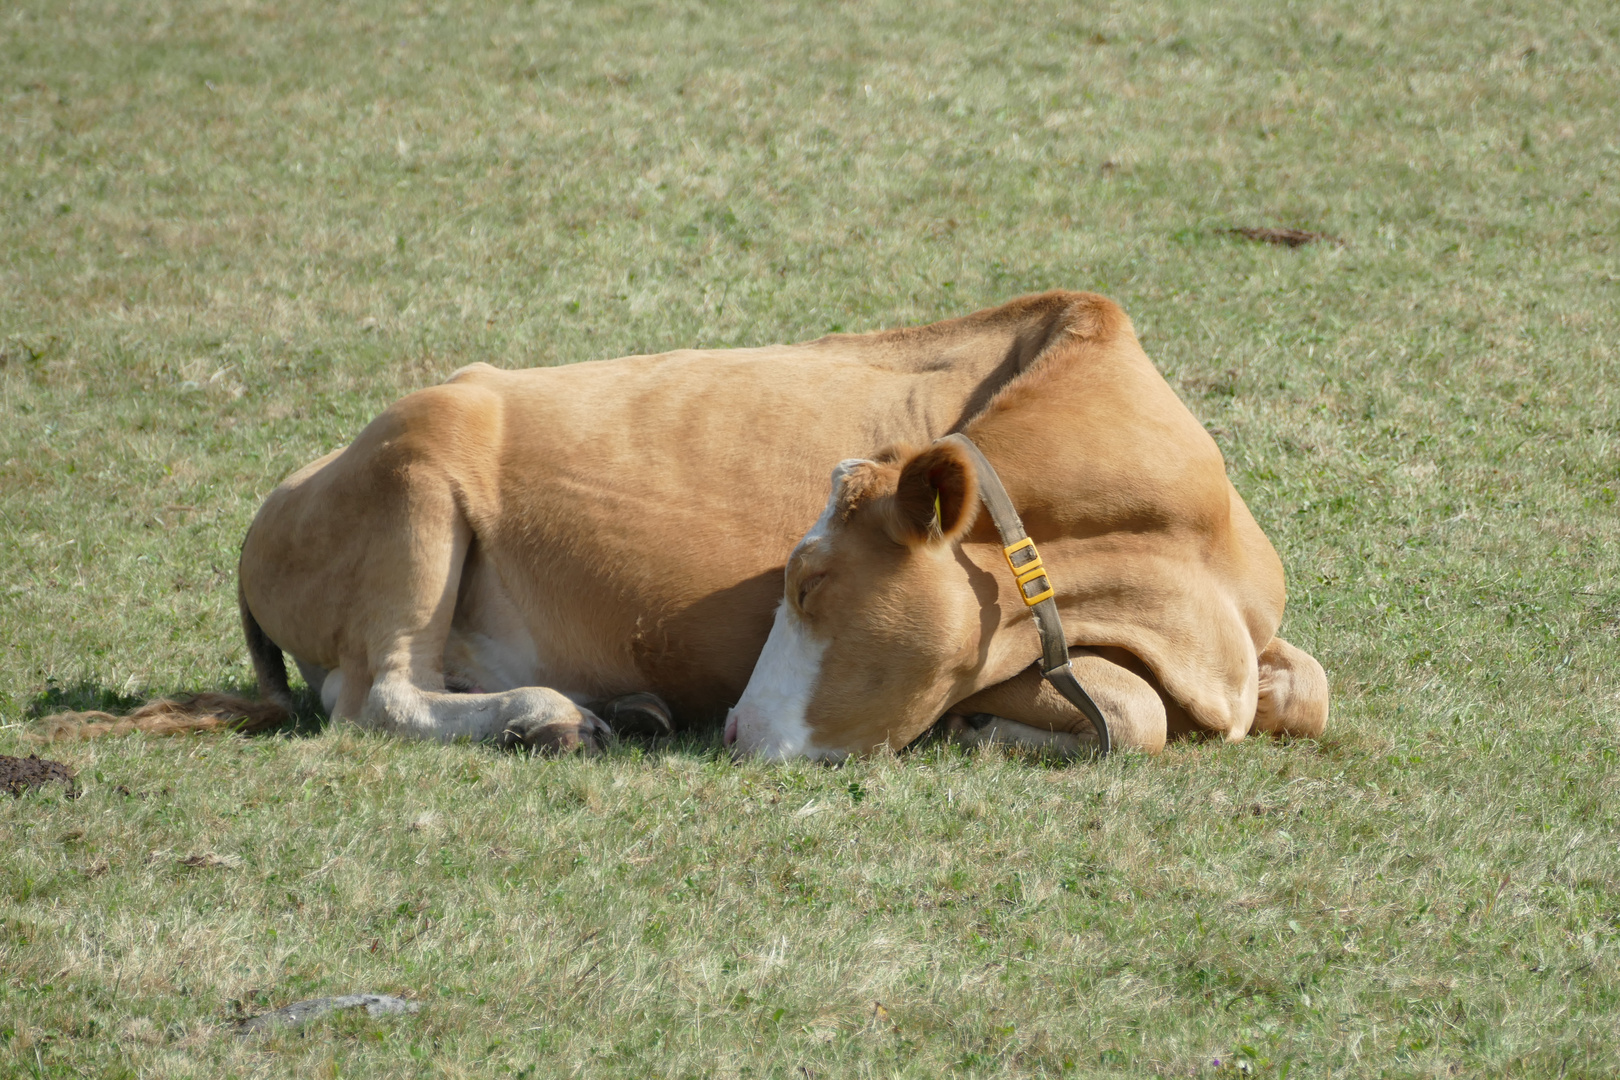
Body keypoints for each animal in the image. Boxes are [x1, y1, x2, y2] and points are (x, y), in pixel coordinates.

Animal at [47, 291, 1328, 757]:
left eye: (808, 584)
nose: (742, 729)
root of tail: (286, 492)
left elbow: (1305, 690)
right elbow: (1128, 712)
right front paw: (990, 731)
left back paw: (618, 706)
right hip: (418, 469)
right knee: (374, 694)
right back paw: (552, 718)